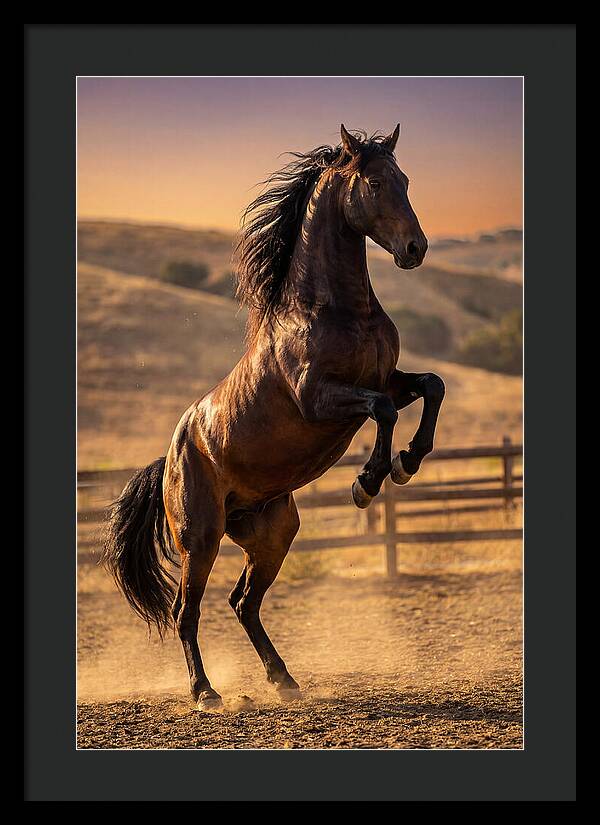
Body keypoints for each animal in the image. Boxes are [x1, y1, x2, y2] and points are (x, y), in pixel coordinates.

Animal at [102, 124, 445, 710]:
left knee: (244, 603)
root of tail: (169, 458)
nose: (415, 249)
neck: (333, 309)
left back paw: (283, 680)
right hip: (201, 538)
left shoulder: (387, 380)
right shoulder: (319, 398)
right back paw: (205, 693)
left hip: (272, 532)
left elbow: (431, 387)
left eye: (405, 179)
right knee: (186, 612)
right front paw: (367, 482)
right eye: (375, 182)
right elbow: (381, 412)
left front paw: (407, 462)